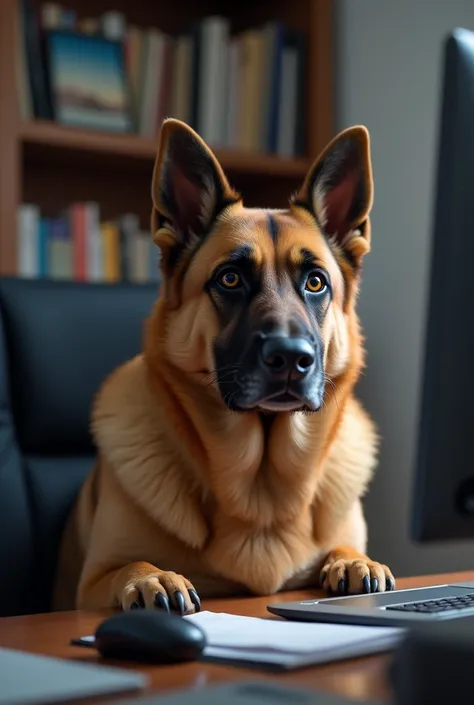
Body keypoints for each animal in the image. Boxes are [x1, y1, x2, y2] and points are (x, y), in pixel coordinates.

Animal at [51, 118, 394, 612]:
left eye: (315, 283)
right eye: (230, 279)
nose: (292, 359)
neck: (261, 494)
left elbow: (346, 548)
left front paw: (353, 561)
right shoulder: (91, 587)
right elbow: (133, 564)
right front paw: (153, 578)